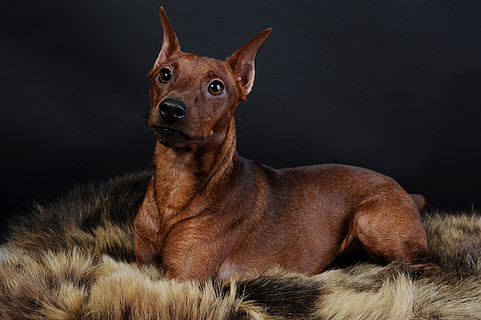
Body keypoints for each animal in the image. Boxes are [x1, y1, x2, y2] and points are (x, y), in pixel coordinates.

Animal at [133, 7, 436, 280]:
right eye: (164, 75)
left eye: (216, 87)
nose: (171, 109)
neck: (175, 179)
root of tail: (406, 193)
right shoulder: (140, 265)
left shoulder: (183, 277)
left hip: (369, 220)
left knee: (425, 265)